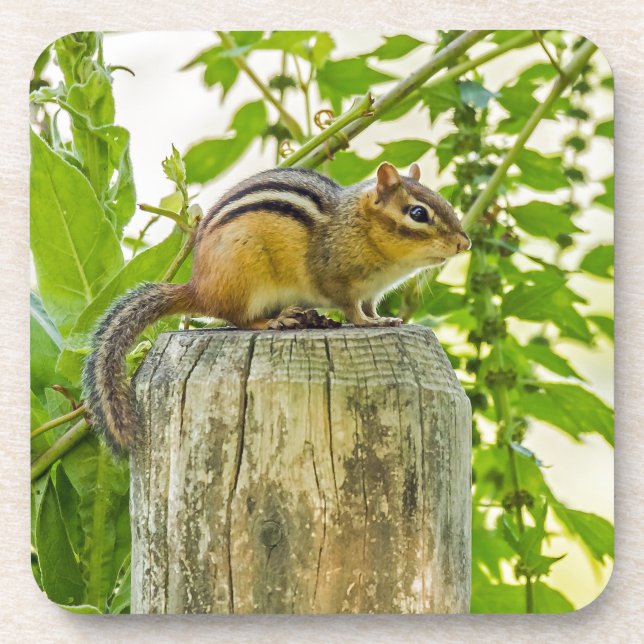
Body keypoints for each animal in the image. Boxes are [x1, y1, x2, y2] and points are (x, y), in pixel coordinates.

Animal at [82, 162, 470, 453]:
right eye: (418, 213)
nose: (464, 244)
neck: (360, 227)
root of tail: (199, 288)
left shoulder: (372, 292)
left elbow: (371, 307)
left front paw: (384, 319)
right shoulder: (337, 281)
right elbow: (352, 310)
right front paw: (367, 324)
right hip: (246, 278)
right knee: (238, 319)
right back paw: (275, 321)